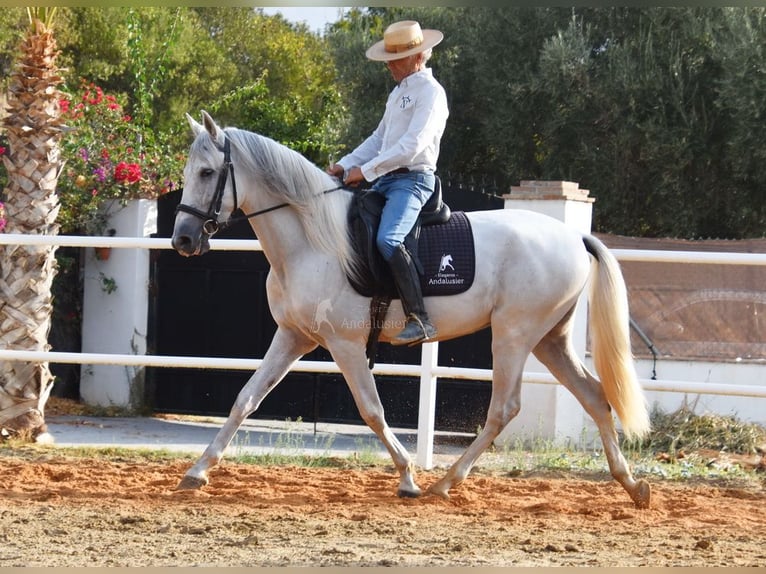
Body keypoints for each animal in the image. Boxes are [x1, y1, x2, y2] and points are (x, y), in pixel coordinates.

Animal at [171, 111, 652, 508]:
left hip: (514, 335)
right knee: (594, 395)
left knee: (504, 409)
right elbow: (246, 398)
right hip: (551, 339)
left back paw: (445, 482)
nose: (183, 240)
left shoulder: (345, 344)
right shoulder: (294, 336)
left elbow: (372, 410)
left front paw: (407, 478)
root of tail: (573, 237)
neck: (312, 241)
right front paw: (197, 472)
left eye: (208, 172)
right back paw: (631, 485)